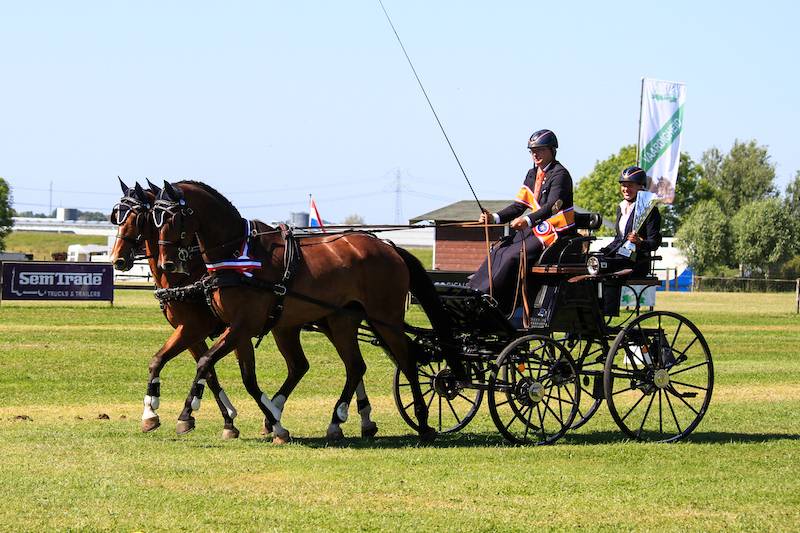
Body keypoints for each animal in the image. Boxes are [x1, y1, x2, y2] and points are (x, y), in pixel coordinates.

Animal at [109, 179, 378, 440]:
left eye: (139, 217)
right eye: (118, 216)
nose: (117, 259)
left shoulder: (203, 327)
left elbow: (221, 372)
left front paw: (214, 419)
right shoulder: (192, 330)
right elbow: (190, 367)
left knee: (350, 365)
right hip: (302, 324)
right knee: (320, 365)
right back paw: (355, 418)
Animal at [152, 180, 460, 440]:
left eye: (174, 217)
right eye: (155, 219)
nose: (168, 263)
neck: (237, 255)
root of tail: (388, 245)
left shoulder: (241, 326)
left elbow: (205, 362)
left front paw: (186, 414)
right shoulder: (235, 329)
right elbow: (241, 376)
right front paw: (270, 422)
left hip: (384, 318)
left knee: (406, 359)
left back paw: (422, 420)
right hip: (340, 321)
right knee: (354, 366)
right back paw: (336, 420)